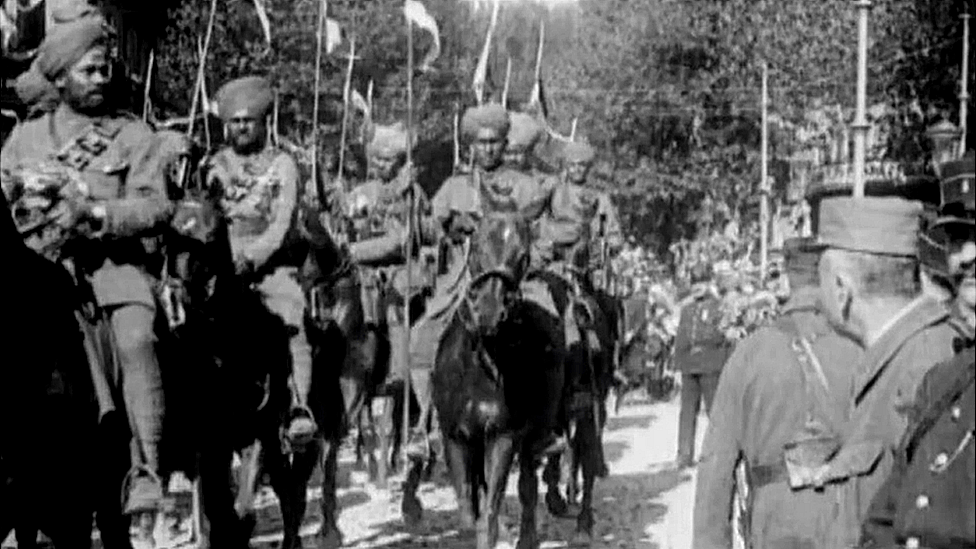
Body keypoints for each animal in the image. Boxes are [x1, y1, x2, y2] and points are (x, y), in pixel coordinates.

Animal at [416, 214, 560, 548]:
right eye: (478, 245)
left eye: (523, 256)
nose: (489, 311)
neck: (479, 365)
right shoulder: (456, 437)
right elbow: (469, 515)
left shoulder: (502, 436)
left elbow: (489, 515)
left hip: (531, 435)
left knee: (528, 482)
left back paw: (527, 535)